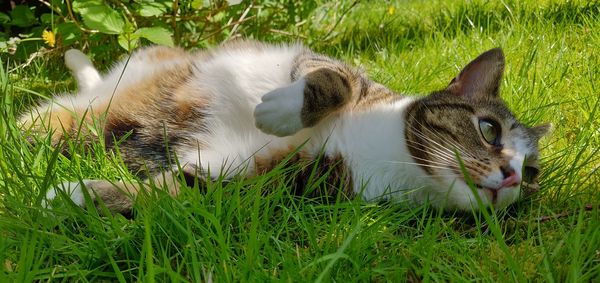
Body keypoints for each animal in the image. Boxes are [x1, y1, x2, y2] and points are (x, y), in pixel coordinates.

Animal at [19, 38, 548, 214]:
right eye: (489, 130)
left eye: (534, 173)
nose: (513, 176)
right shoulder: (334, 71)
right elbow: (335, 78)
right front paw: (277, 112)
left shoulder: (260, 178)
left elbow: (175, 192)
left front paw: (72, 197)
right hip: (92, 110)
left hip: (84, 119)